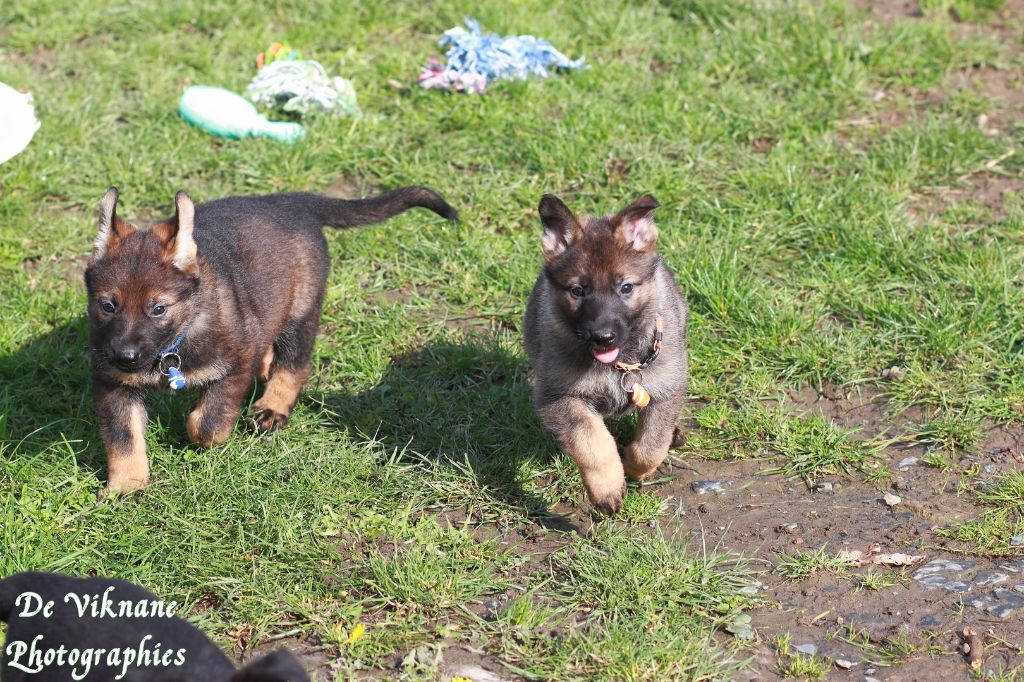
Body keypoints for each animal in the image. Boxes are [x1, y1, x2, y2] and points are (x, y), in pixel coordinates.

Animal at [85, 185, 457, 491]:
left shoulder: (237, 364)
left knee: (295, 363)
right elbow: (123, 437)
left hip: (301, 312)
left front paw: (201, 434)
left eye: (158, 309)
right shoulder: (113, 385)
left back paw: (273, 407)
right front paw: (127, 486)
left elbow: (207, 423)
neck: (172, 346)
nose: (124, 357)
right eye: (107, 305)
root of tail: (286, 200)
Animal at [523, 194, 688, 514]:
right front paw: (607, 489)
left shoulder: (666, 387)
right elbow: (592, 443)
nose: (603, 337)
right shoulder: (559, 397)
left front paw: (634, 468)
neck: (619, 365)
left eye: (625, 287)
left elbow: (651, 445)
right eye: (578, 290)